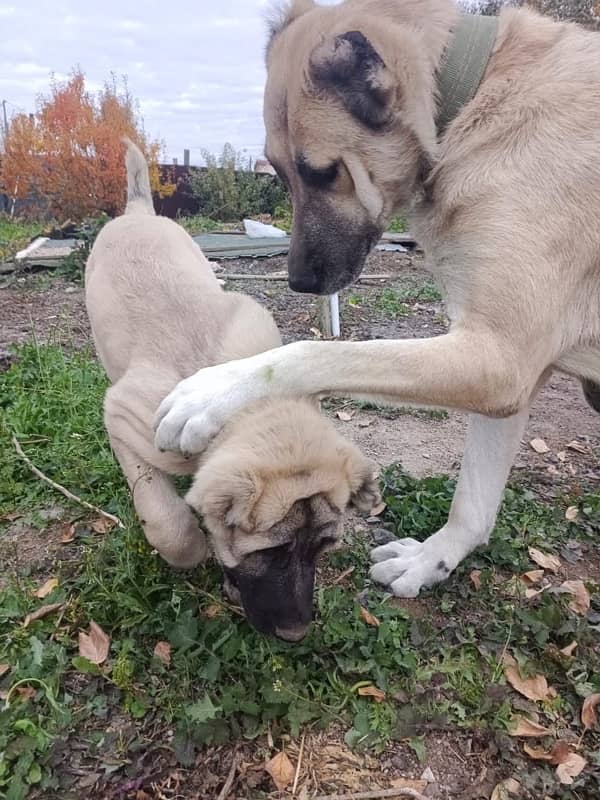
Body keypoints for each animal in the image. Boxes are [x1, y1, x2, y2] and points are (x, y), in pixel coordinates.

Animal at [84, 141, 380, 640]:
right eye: (270, 552)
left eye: (322, 549)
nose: (296, 634)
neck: (241, 404)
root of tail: (138, 209)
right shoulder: (124, 419)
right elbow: (170, 523)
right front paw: (194, 547)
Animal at [154, 1, 600, 600]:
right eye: (279, 171)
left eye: (322, 171)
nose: (299, 283)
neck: (469, 102)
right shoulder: (509, 372)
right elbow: (473, 502)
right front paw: (433, 560)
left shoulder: (498, 359)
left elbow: (313, 352)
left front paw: (214, 391)